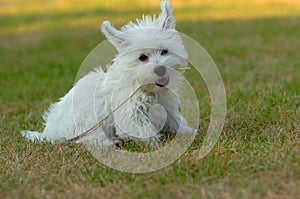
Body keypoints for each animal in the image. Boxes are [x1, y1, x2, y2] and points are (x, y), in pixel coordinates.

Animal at [21, 0, 195, 147]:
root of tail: (48, 133)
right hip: (85, 120)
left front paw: (189, 132)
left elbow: (176, 121)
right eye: (142, 57)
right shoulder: (131, 114)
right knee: (87, 139)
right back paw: (111, 143)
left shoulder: (166, 107)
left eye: (164, 51)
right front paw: (156, 145)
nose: (160, 69)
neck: (144, 86)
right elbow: (144, 131)